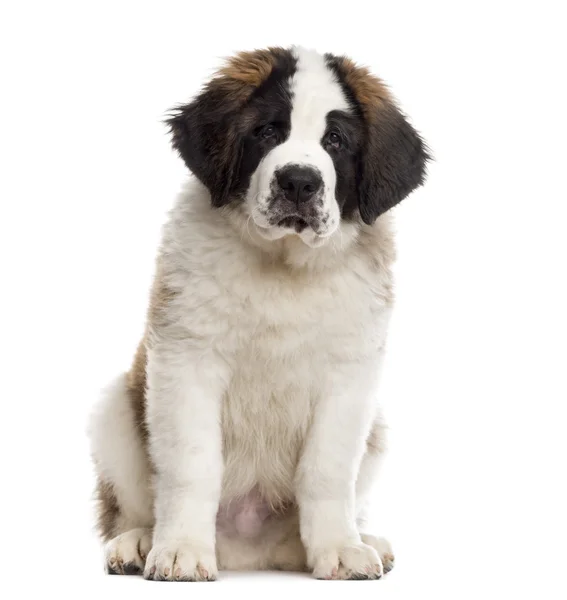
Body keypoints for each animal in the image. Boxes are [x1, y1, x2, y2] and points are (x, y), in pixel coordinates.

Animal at [89, 44, 428, 580]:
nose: (299, 183)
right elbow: (193, 463)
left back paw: (358, 539)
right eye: (268, 132)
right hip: (114, 411)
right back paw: (139, 542)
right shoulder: (186, 359)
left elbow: (328, 469)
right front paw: (181, 549)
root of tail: (250, 553)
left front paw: (339, 548)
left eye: (335, 140)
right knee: (132, 506)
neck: (283, 264)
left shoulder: (350, 375)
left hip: (376, 428)